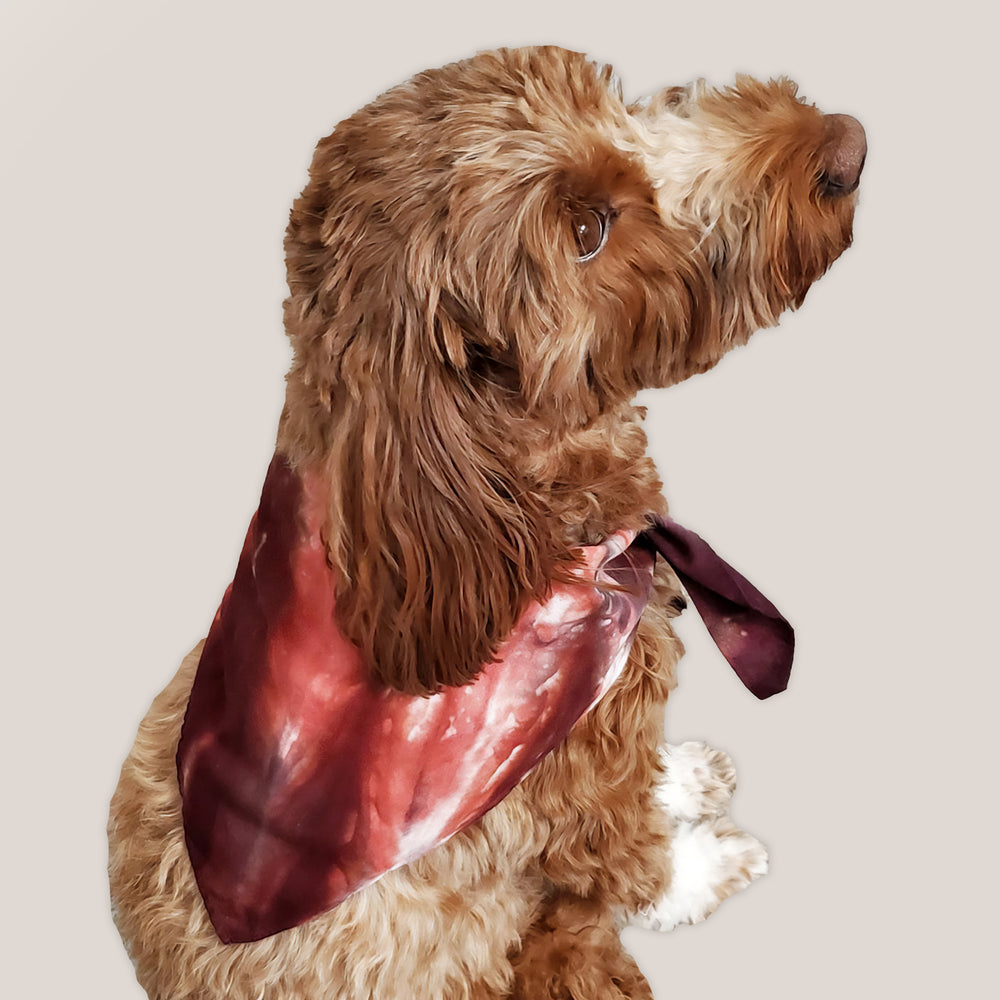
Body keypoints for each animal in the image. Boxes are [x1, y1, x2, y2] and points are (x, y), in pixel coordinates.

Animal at [107, 43, 860, 996]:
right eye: (588, 232)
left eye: (616, 100)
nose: (846, 146)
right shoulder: (567, 769)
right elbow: (627, 850)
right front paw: (706, 862)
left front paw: (681, 774)